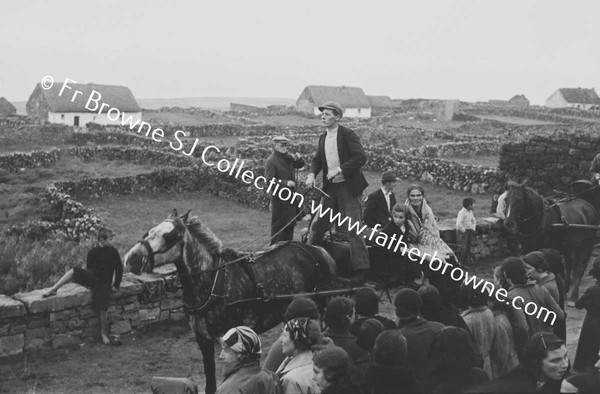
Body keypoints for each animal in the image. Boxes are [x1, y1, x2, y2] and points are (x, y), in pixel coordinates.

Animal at [123, 211, 338, 394]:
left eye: (170, 236)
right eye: (149, 231)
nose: (131, 258)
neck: (213, 284)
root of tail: (316, 250)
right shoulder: (204, 341)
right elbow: (210, 382)